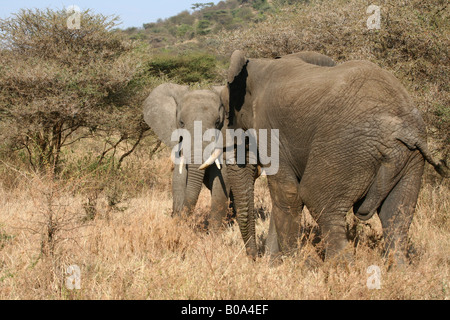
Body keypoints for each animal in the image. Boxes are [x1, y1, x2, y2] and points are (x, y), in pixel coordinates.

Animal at [142, 84, 230, 231]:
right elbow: (179, 177)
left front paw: (214, 233)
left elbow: (220, 178)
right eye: (181, 122)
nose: (175, 215)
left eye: (218, 122)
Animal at [202, 50, 448, 264]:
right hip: (409, 160)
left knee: (319, 199)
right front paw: (275, 264)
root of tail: (405, 130)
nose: (253, 258)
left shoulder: (270, 126)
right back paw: (397, 270)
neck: (259, 66)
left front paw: (289, 265)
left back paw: (340, 271)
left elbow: (287, 193)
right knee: (396, 216)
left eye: (226, 116)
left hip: (347, 147)